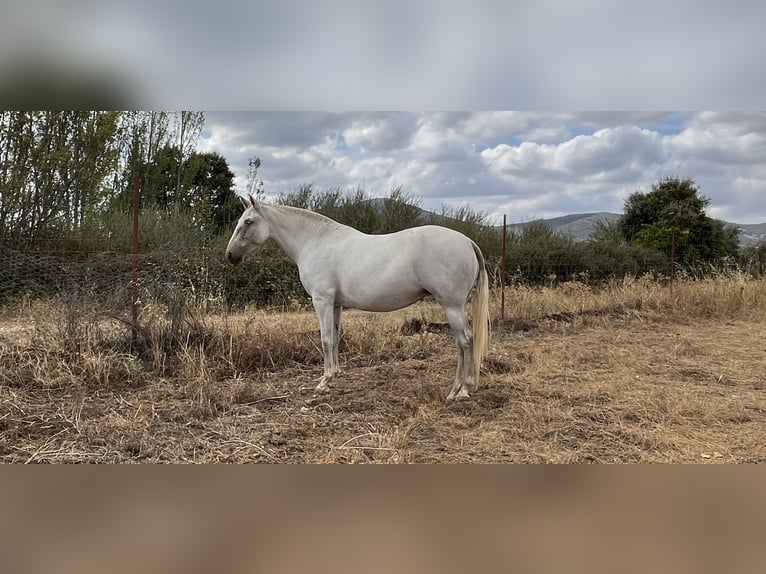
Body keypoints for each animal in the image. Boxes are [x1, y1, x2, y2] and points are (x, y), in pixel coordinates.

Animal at [225, 194, 488, 400]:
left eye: (248, 221)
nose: (230, 256)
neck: (315, 241)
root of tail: (467, 241)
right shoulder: (336, 304)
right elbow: (335, 338)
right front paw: (333, 377)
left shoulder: (322, 301)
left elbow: (325, 339)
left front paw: (322, 383)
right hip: (453, 306)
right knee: (461, 343)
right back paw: (459, 388)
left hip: (451, 305)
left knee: (465, 341)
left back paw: (461, 391)